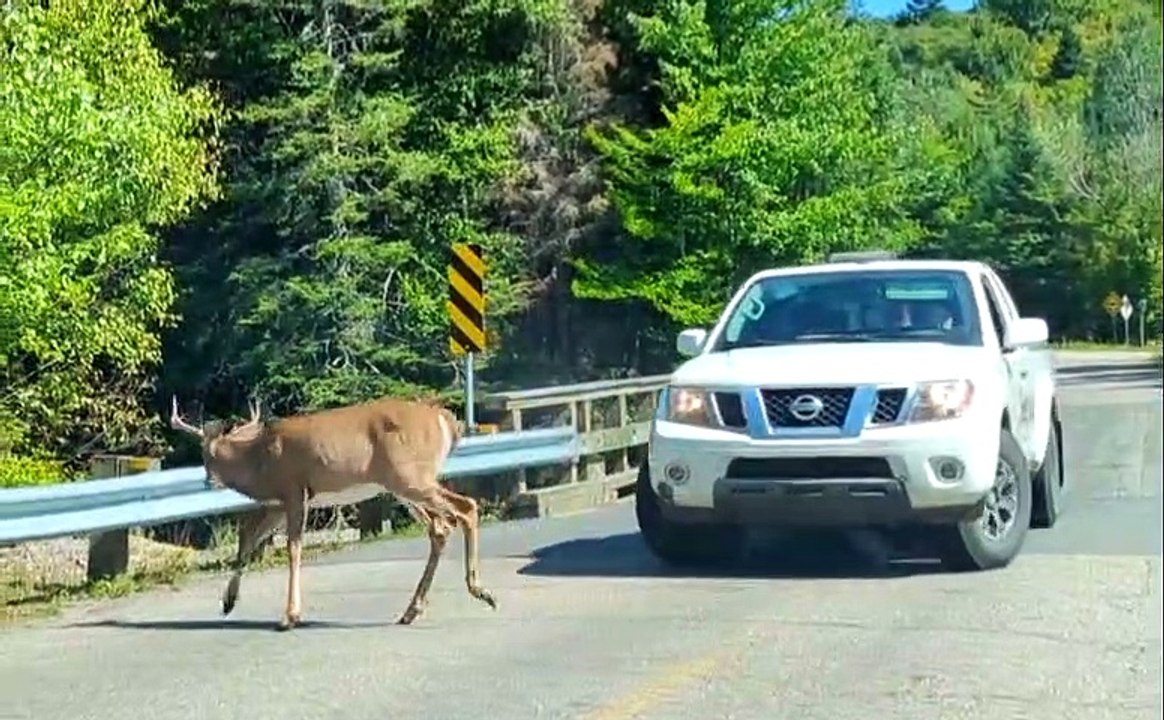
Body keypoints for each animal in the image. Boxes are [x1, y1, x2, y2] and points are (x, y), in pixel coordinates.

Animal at [169, 394, 498, 631]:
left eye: (208, 454)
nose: (209, 481)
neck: (259, 460)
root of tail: (445, 419)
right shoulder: (278, 503)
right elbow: (247, 539)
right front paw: (228, 602)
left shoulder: (293, 491)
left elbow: (293, 548)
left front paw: (289, 617)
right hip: (402, 486)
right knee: (440, 527)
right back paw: (411, 611)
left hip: (411, 478)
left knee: (466, 508)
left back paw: (481, 591)